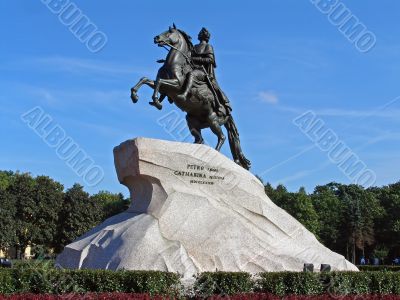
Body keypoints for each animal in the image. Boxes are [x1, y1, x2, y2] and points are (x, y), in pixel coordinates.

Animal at [131, 24, 250, 170]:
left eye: (169, 32)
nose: (156, 38)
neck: (174, 63)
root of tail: (228, 113)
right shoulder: (165, 87)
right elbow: (146, 80)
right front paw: (135, 96)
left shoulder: (176, 85)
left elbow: (159, 82)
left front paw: (157, 101)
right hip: (192, 121)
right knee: (200, 138)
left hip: (213, 120)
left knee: (222, 137)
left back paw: (215, 154)